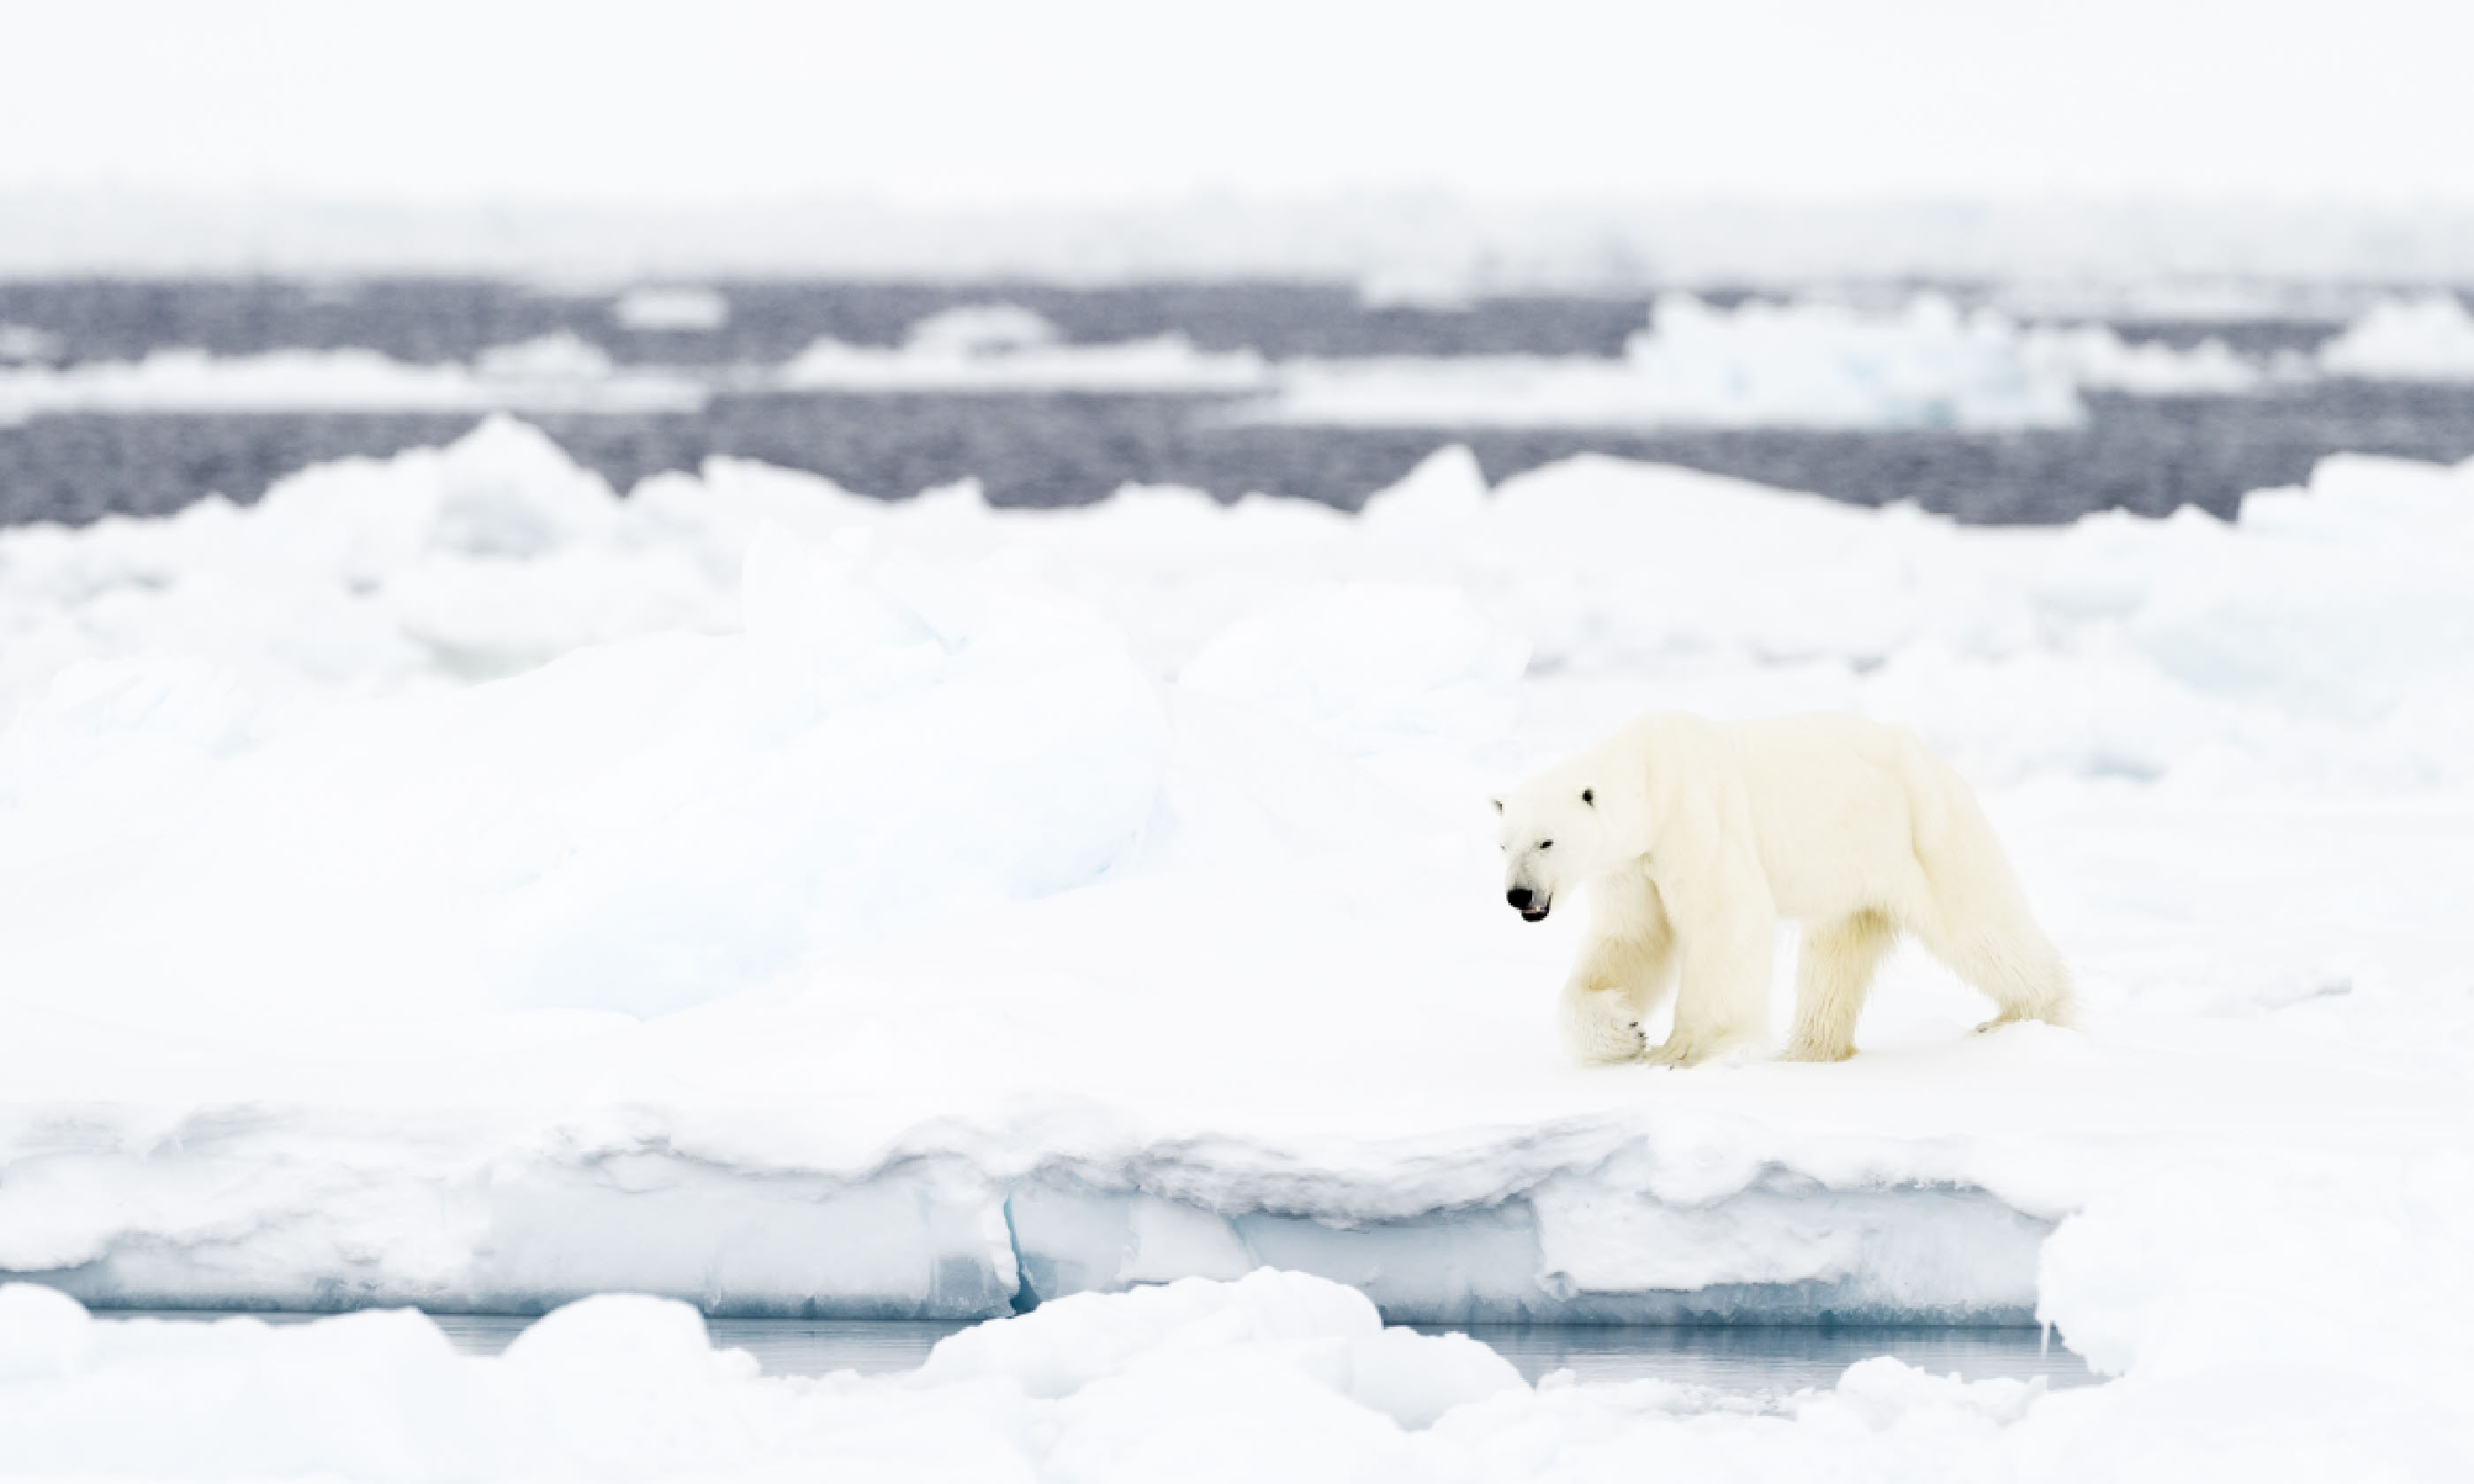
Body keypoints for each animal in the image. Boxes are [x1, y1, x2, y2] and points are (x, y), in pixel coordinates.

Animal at [1494, 712, 2078, 1068]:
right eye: (1503, 844)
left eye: (1547, 841)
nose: (1519, 896)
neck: (1654, 777)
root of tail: (1939, 765)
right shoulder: (1633, 865)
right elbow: (1631, 941)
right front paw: (1626, 1031)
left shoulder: (1698, 822)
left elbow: (1725, 922)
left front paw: (1682, 1052)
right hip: (1852, 873)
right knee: (1835, 959)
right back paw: (1810, 1051)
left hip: (1923, 832)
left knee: (1978, 926)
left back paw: (2026, 1018)